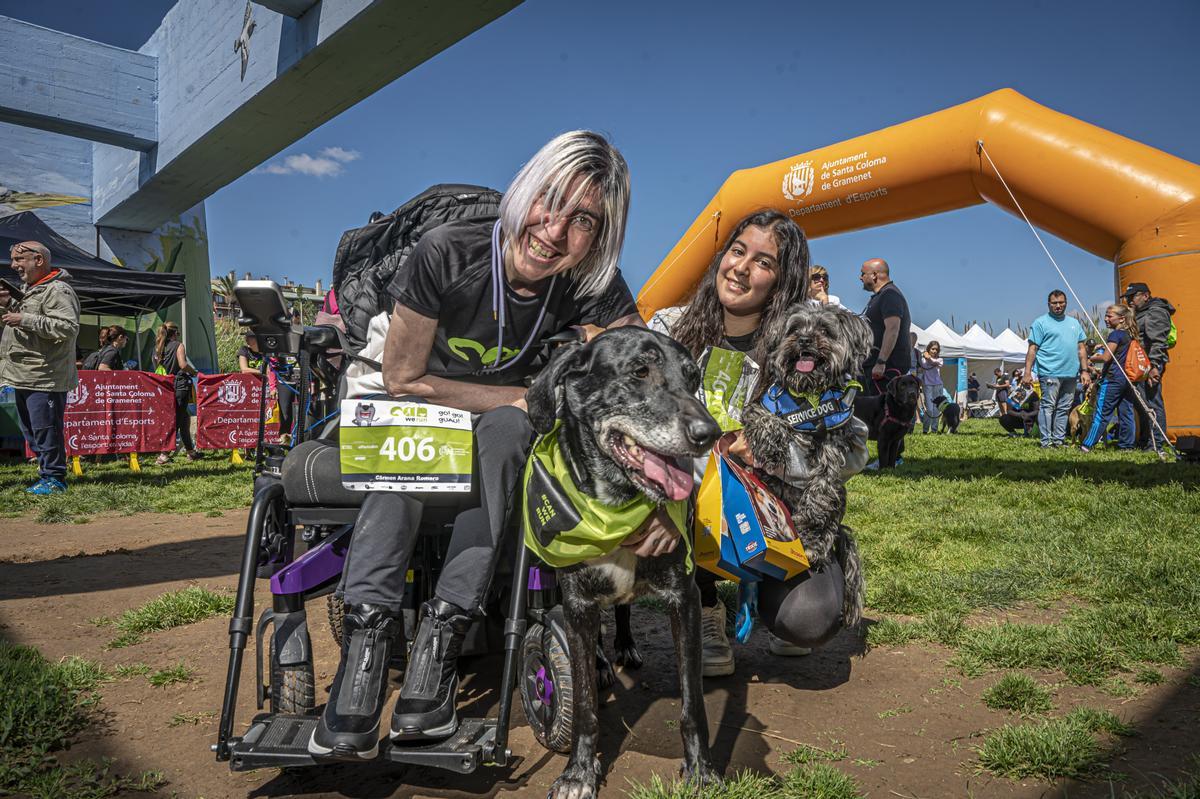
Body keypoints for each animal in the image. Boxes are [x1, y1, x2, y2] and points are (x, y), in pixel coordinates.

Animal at [523, 323, 720, 796]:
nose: (710, 433)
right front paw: (578, 772)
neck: (616, 505)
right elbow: (584, 705)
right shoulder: (576, 603)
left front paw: (701, 768)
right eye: (640, 371)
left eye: (692, 378)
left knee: (625, 609)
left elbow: (692, 703)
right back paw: (599, 662)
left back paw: (625, 645)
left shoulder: (683, 598)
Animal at [739, 299, 873, 628]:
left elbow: (821, 492)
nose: (803, 341)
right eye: (795, 328)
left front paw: (810, 536)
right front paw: (770, 441)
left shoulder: (834, 449)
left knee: (832, 524)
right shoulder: (761, 404)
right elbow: (762, 417)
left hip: (841, 502)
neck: (808, 397)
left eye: (824, 330)